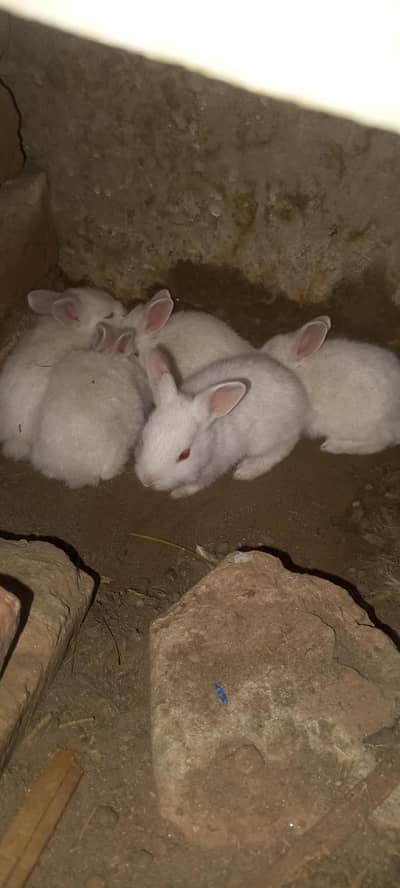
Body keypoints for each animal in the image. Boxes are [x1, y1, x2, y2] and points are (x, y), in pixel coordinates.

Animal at [134, 346, 309, 498]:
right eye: (142, 439)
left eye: (184, 455)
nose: (147, 481)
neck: (212, 441)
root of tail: (298, 388)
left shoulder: (212, 469)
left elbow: (196, 484)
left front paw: (179, 493)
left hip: (268, 439)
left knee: (281, 449)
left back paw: (246, 470)